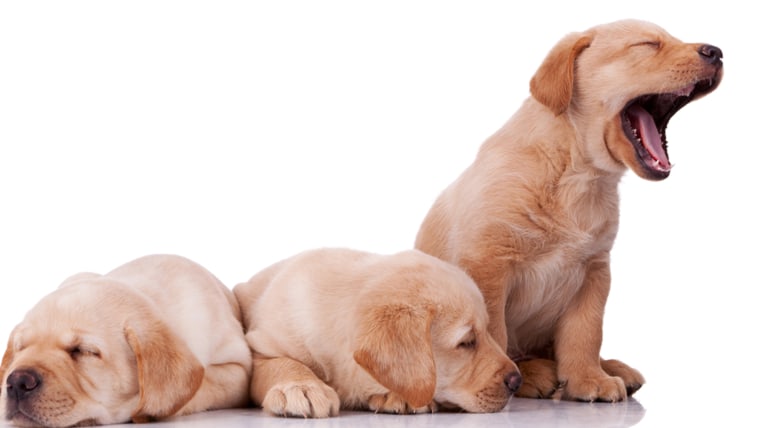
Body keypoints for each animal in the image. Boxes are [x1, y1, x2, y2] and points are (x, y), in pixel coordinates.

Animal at [235, 247, 524, 418]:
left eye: (487, 331)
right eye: (466, 342)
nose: (517, 381)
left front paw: (396, 395)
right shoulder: (259, 347)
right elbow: (282, 363)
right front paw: (300, 386)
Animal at [416, 19, 724, 402]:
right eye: (647, 45)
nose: (717, 52)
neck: (577, 174)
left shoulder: (594, 270)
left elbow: (585, 334)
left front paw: (588, 379)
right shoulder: (488, 263)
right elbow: (495, 333)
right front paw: (505, 380)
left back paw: (611, 367)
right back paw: (535, 375)